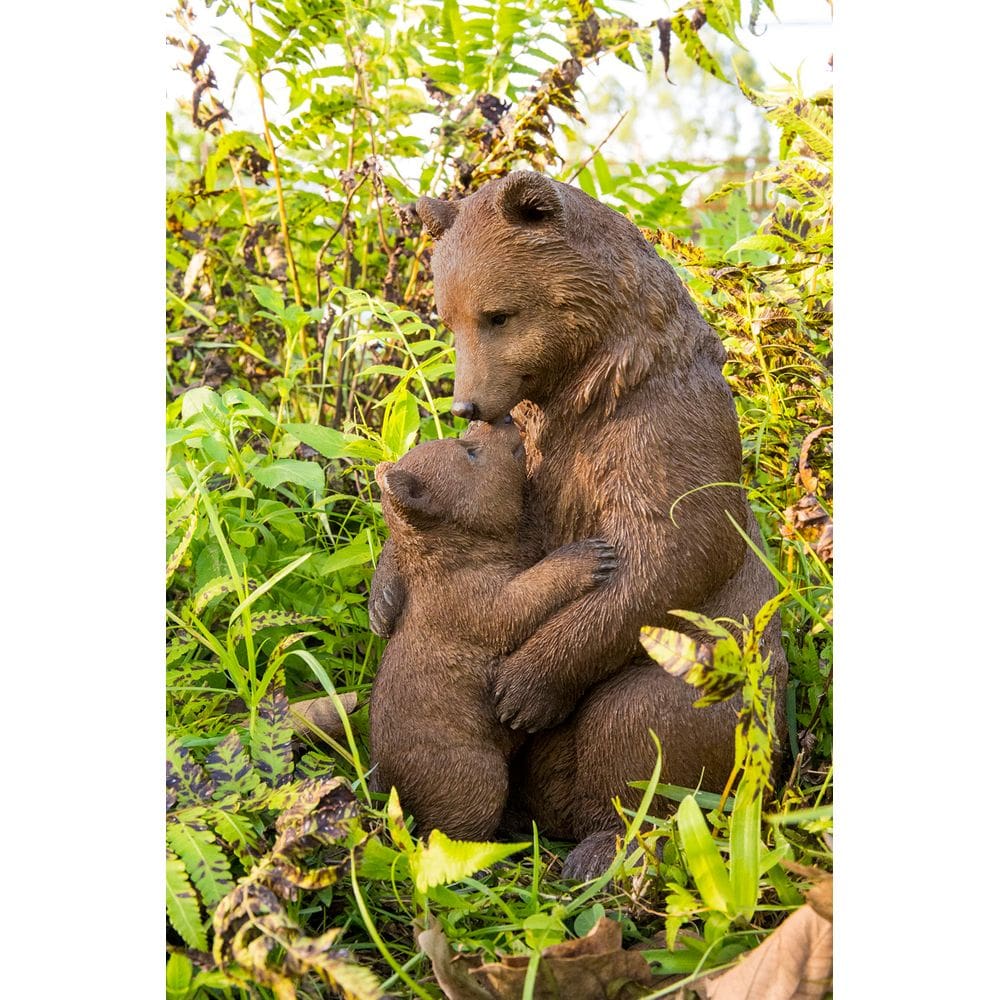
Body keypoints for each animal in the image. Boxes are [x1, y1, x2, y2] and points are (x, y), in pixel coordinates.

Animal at [368, 418, 617, 840]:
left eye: (465, 438)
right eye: (469, 451)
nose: (500, 419)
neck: (459, 554)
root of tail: (387, 787)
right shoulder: (471, 602)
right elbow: (520, 601)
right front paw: (589, 555)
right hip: (470, 770)